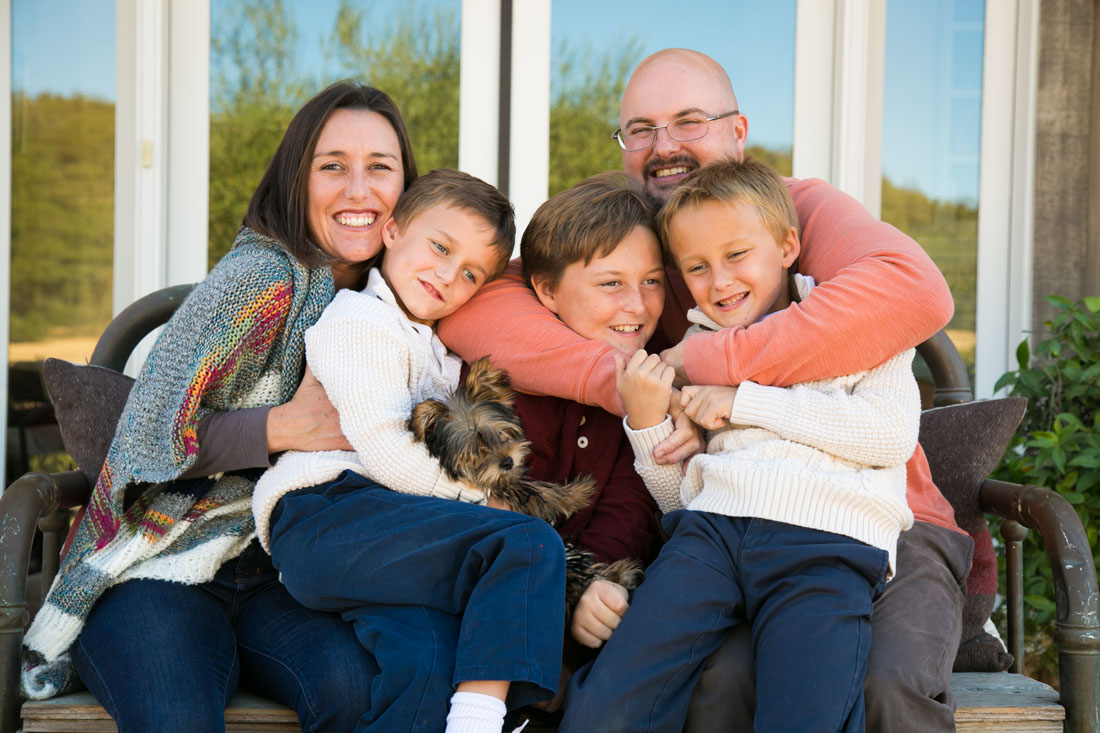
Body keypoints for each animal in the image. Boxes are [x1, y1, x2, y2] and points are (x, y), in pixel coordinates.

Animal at [413, 354, 642, 611]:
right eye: (474, 453)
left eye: (500, 433)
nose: (506, 462)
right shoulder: (504, 489)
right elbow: (539, 491)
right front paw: (579, 492)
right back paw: (620, 573)